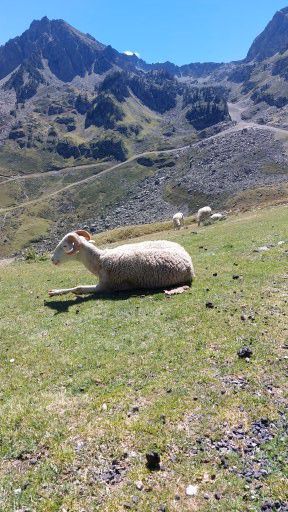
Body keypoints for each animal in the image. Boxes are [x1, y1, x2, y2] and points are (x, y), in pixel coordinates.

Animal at [48, 228, 195, 296]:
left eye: (64, 246)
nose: (52, 259)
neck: (100, 259)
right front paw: (55, 290)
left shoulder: (104, 286)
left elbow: (78, 288)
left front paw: (55, 292)